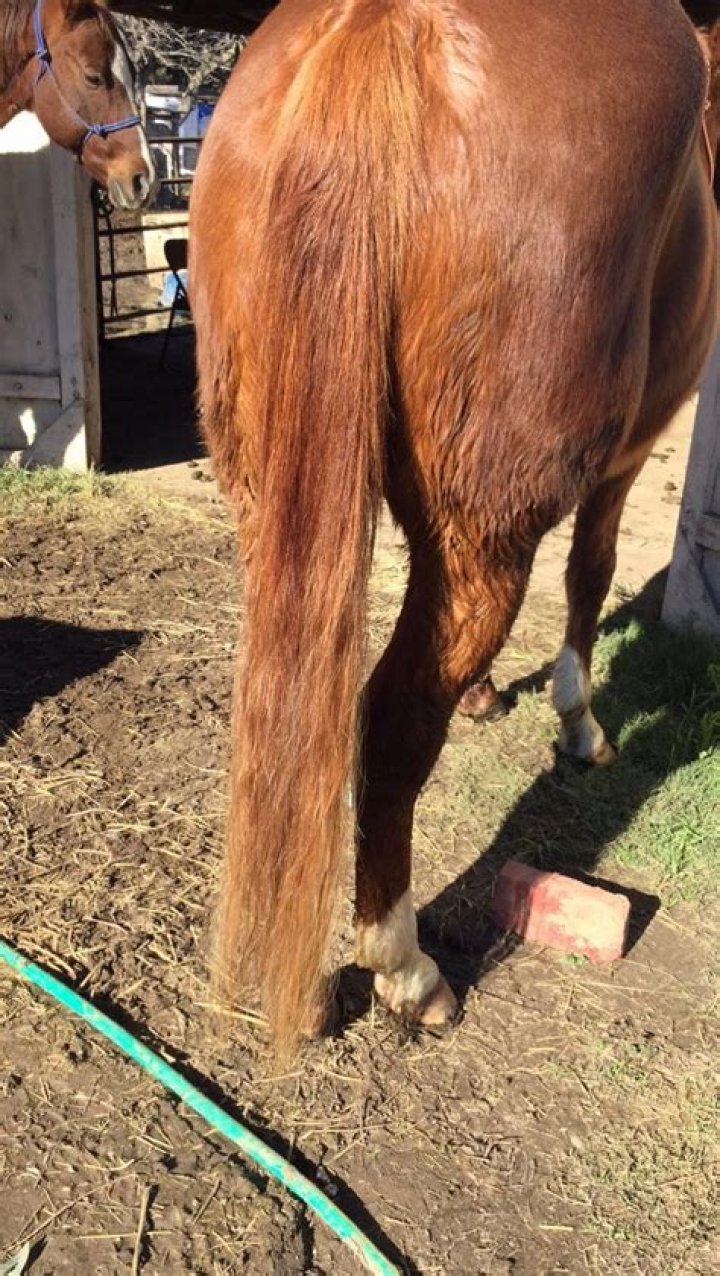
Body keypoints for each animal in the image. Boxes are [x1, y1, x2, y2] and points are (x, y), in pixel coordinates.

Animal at [190, 0, 718, 1057]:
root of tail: (386, 29)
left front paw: (484, 694)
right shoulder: (627, 456)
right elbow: (591, 572)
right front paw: (579, 725)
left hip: (273, 493)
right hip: (485, 528)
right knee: (391, 721)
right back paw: (404, 968)